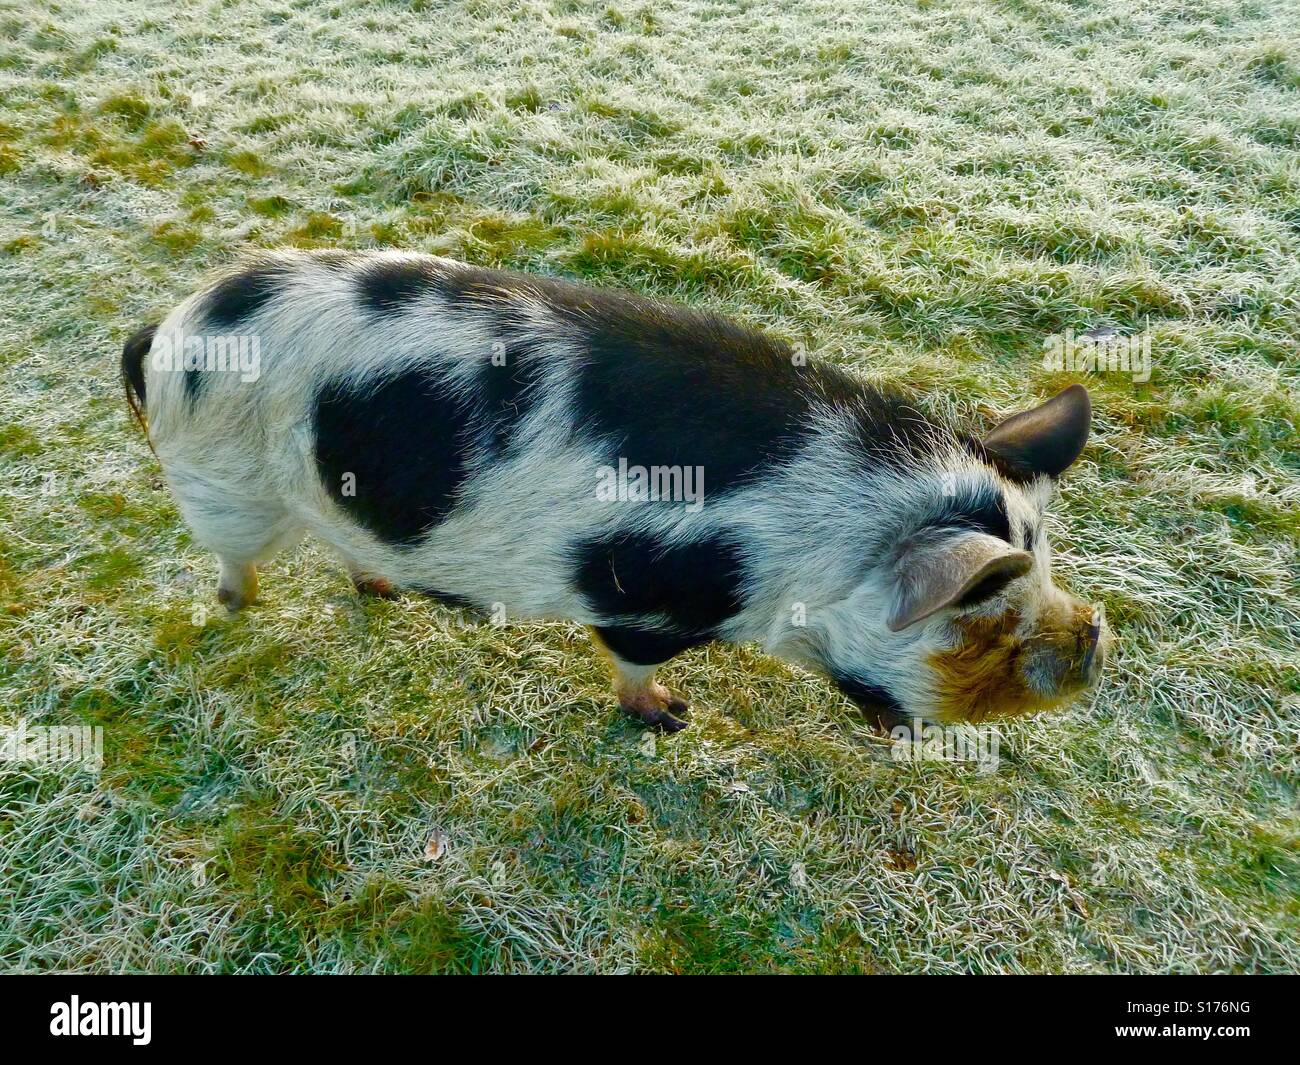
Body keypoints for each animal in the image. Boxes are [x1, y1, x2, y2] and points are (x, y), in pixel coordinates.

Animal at [124, 249, 1107, 733]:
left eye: (1046, 568)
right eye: (987, 616)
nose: (1095, 635)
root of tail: (168, 326)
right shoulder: (644, 601)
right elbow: (633, 664)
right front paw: (673, 719)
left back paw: (382, 588)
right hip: (222, 481)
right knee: (233, 557)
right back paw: (234, 605)